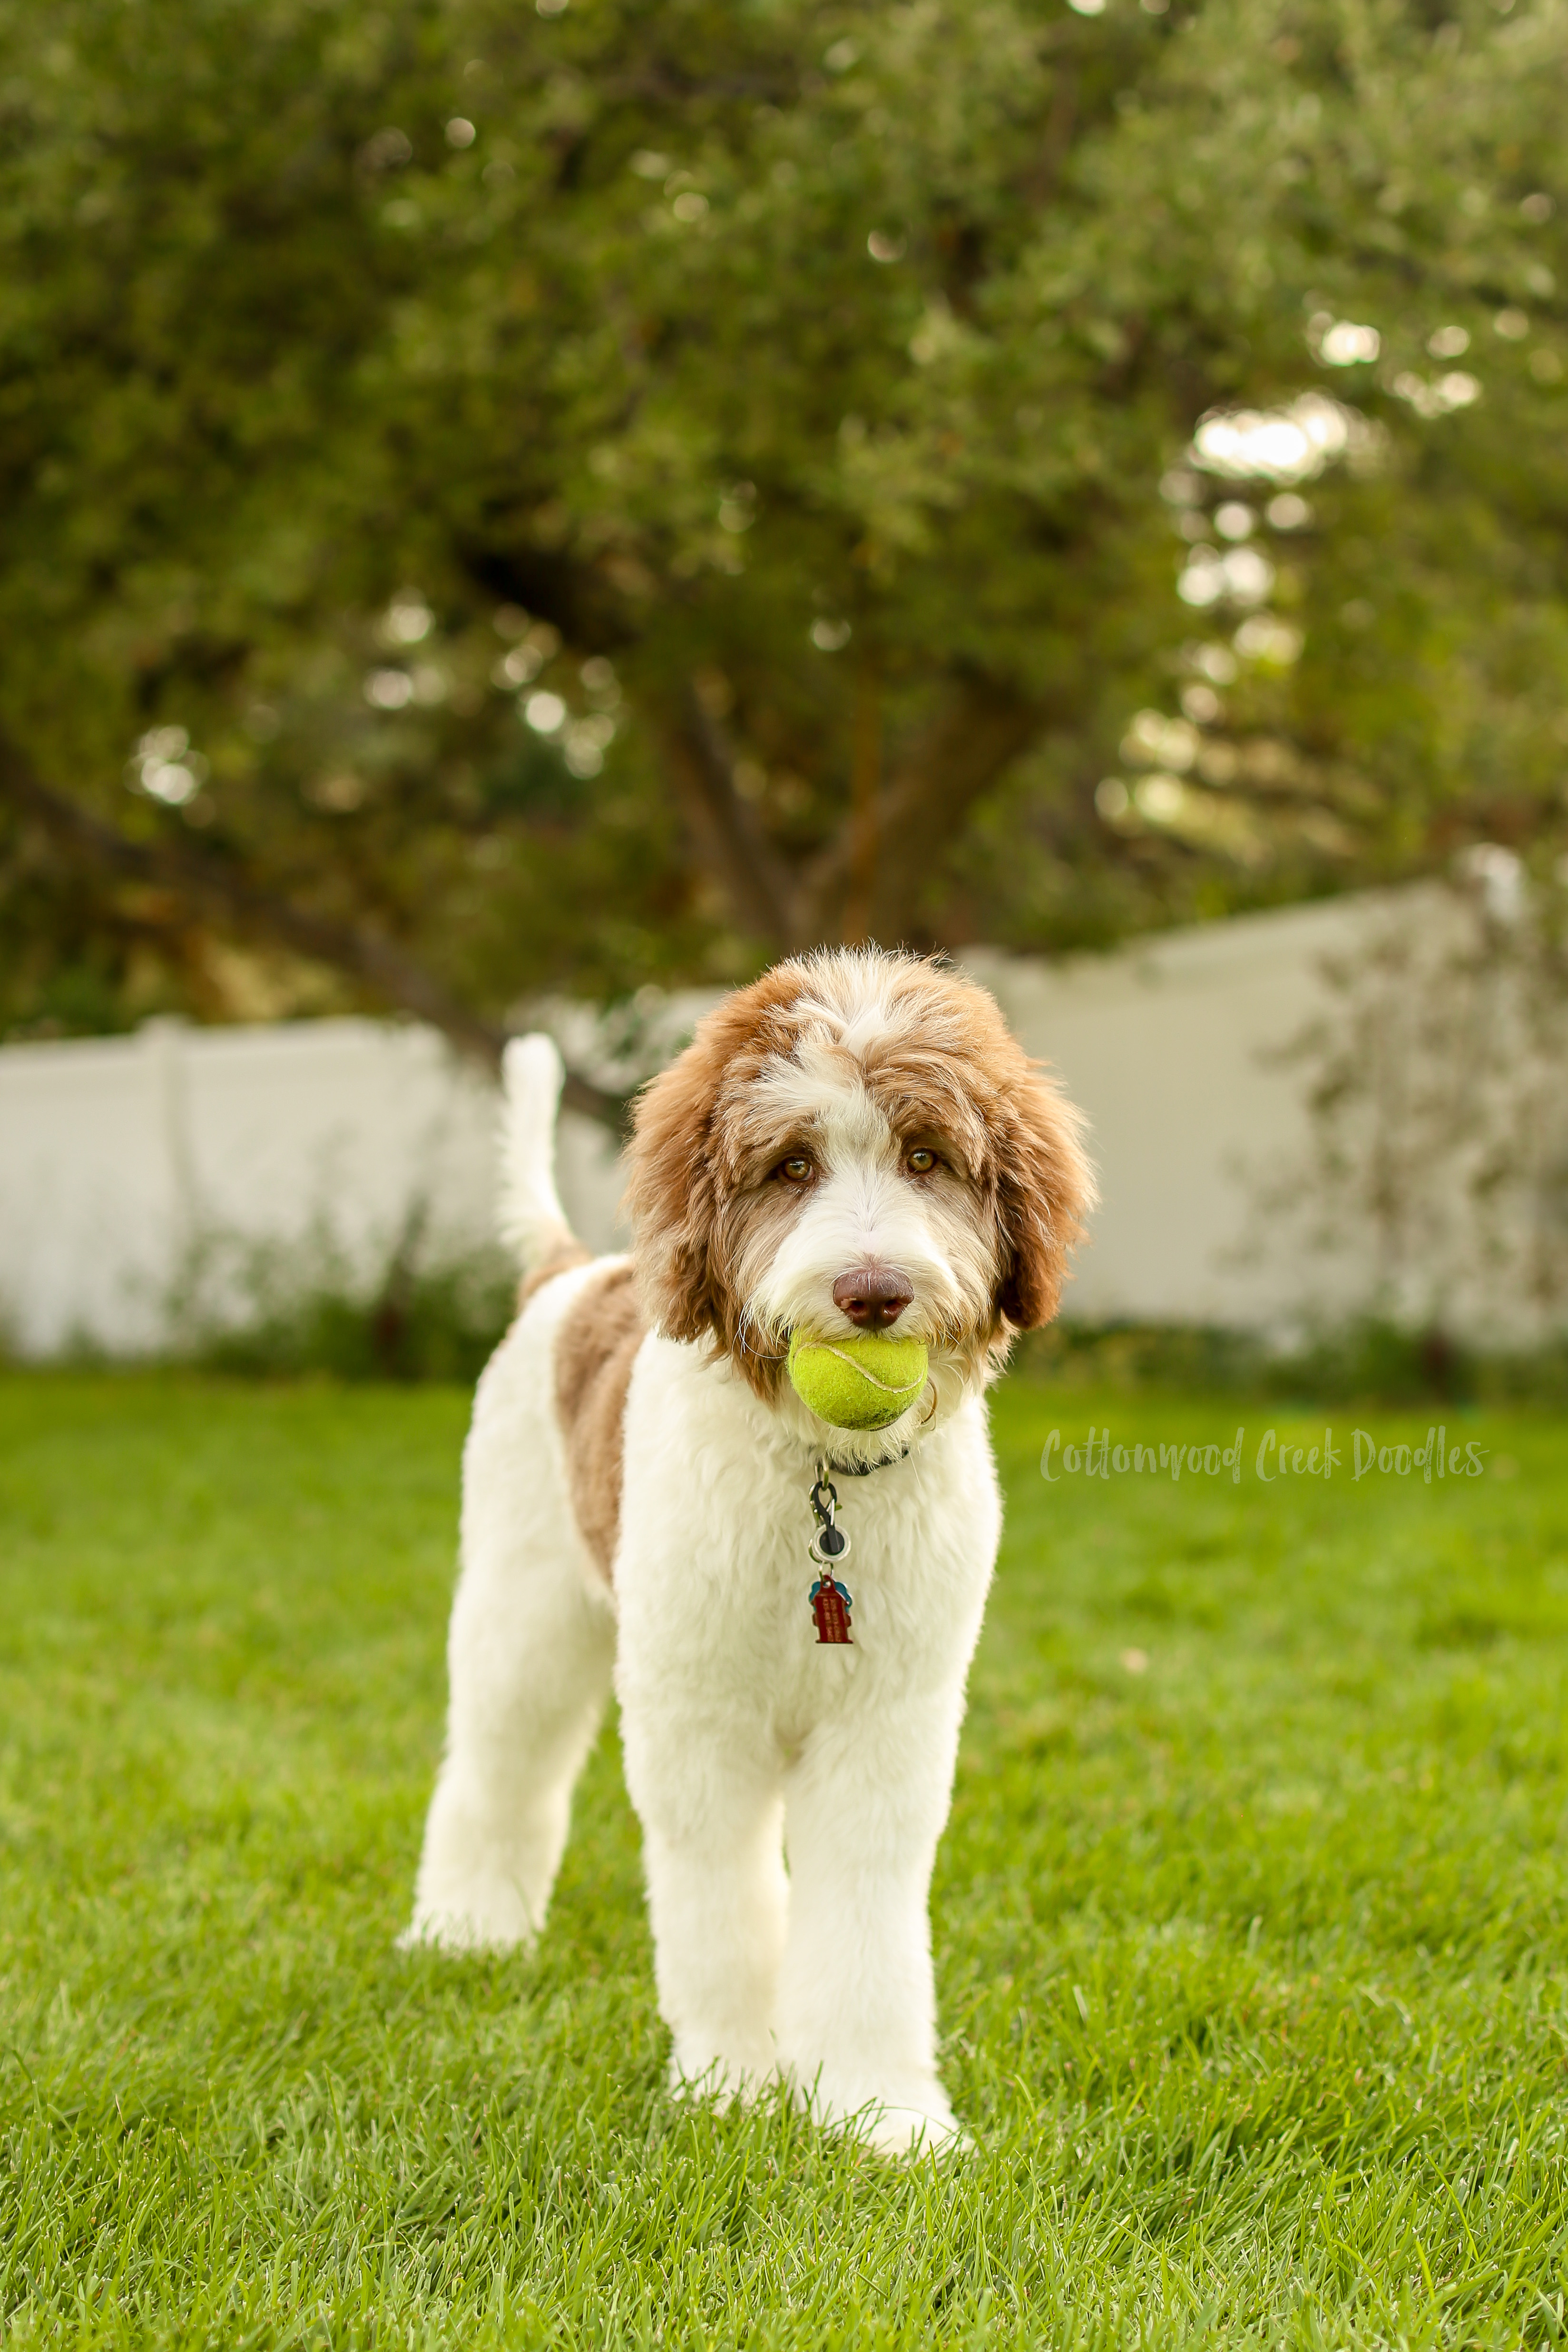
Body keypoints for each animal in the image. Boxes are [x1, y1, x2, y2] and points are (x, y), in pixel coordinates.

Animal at [404, 945, 1090, 2154]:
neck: (822, 1486)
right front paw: (729, 2085)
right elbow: (717, 1903)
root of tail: (571, 1272)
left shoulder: (887, 1724)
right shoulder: (698, 1715)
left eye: (925, 1155)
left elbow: (862, 1916)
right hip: (522, 1608)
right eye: (790, 1164)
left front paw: (877, 2109)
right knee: (497, 1764)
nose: (872, 1291)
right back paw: (466, 1929)